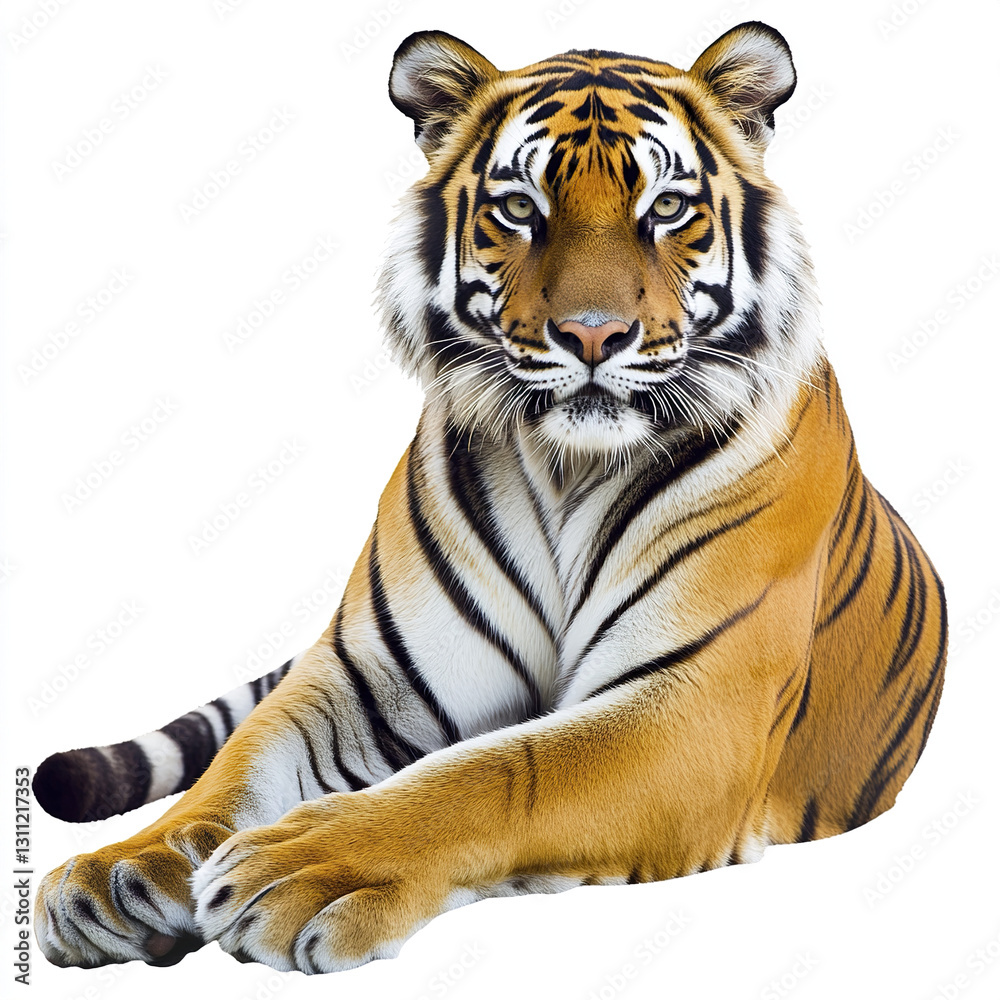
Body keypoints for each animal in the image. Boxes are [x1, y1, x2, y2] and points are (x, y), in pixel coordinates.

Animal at [34, 21, 946, 975]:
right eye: (519, 208)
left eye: (666, 209)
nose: (592, 334)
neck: (570, 468)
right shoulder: (366, 679)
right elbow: (239, 766)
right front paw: (120, 868)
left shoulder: (696, 706)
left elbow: (499, 772)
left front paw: (303, 863)